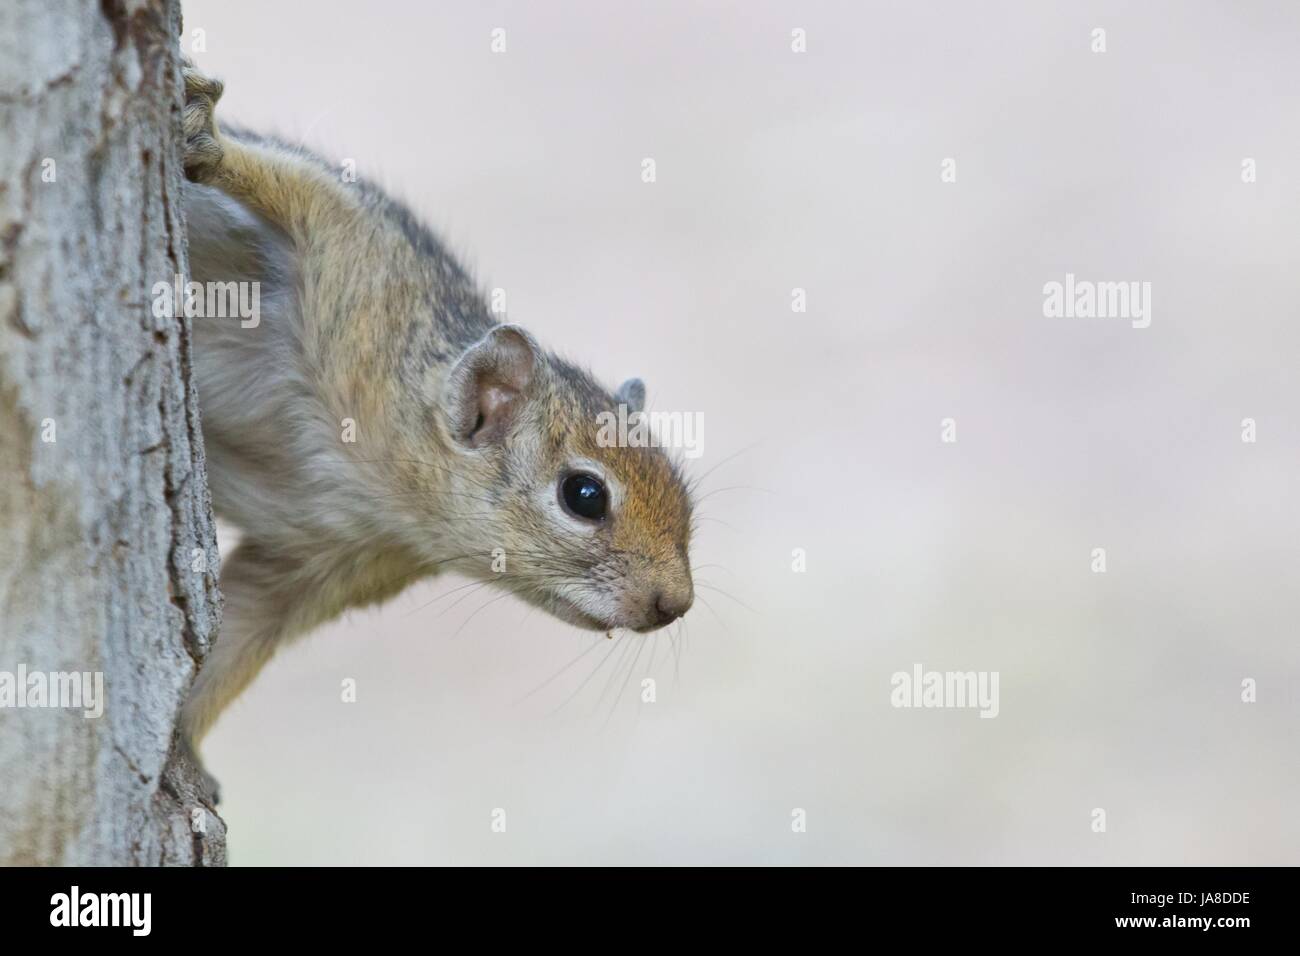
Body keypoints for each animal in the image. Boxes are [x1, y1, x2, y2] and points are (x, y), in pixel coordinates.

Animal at [178, 61, 696, 801]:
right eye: (585, 496)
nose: (674, 604)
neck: (389, 491)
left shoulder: (313, 560)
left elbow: (238, 637)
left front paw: (183, 752)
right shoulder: (362, 262)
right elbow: (293, 189)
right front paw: (208, 136)